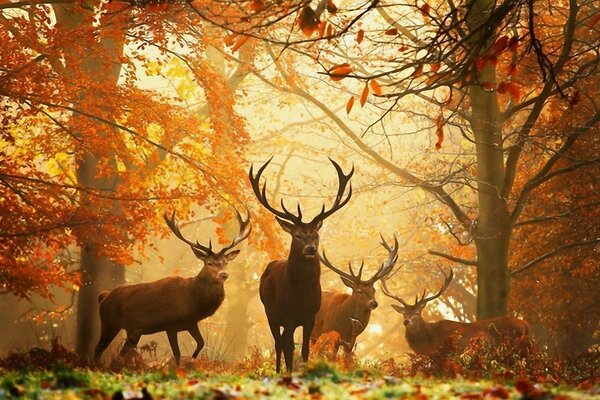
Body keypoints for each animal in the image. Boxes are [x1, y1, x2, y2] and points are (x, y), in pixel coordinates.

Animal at [93, 208, 251, 368]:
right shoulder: (170, 324)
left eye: (225, 262)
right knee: (98, 349)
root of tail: (103, 296)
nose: (224, 274)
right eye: (209, 263)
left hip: (133, 330)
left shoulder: (191, 322)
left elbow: (201, 343)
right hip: (109, 322)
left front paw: (192, 360)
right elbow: (177, 353)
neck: (192, 301)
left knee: (122, 352)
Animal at [247, 158, 352, 374]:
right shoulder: (287, 316)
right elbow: (288, 348)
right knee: (279, 343)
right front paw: (289, 372)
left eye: (316, 235)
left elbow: (304, 349)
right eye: (297, 235)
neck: (301, 295)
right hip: (270, 313)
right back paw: (278, 371)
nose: (310, 249)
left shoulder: (310, 317)